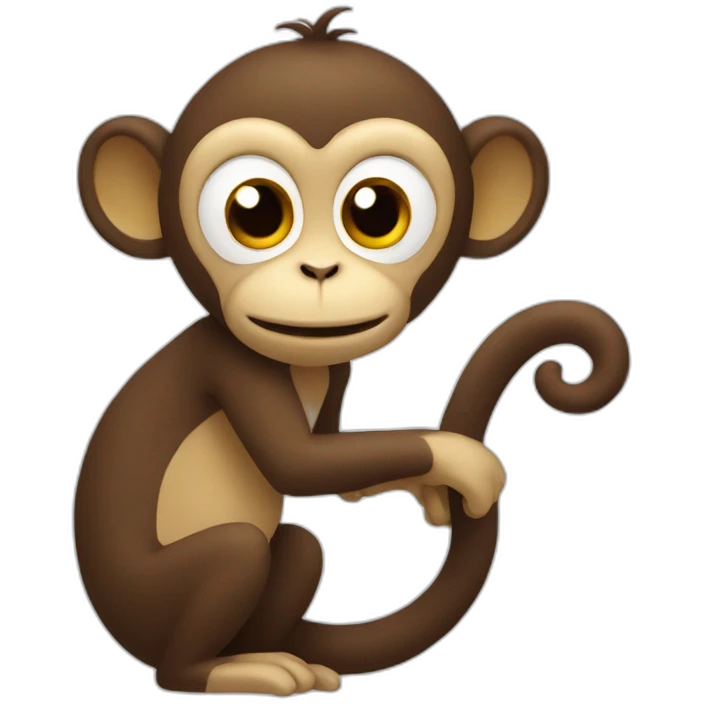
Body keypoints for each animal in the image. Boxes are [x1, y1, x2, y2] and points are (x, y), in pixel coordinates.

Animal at [73, 6, 631, 696]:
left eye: (376, 211)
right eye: (254, 211)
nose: (319, 269)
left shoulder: (334, 365)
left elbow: (329, 453)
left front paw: (427, 485)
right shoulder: (233, 364)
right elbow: (298, 462)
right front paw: (463, 463)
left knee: (299, 548)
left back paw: (275, 658)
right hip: (153, 597)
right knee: (231, 561)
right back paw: (224, 671)